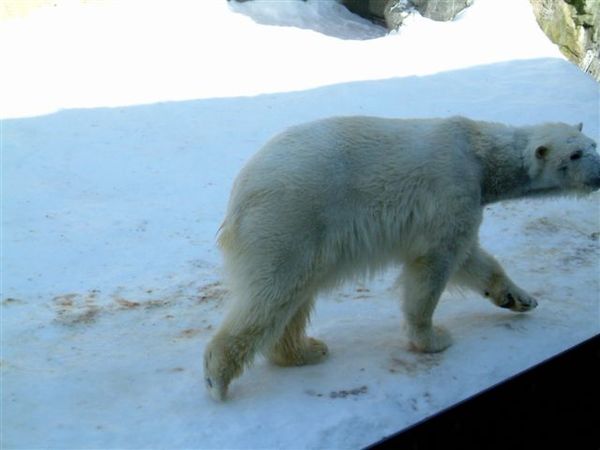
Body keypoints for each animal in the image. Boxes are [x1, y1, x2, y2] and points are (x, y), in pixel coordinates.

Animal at [203, 116, 600, 400]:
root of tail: (238, 195)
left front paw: (520, 299)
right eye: (574, 155)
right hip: (290, 219)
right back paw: (218, 378)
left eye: (592, 145)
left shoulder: (464, 205)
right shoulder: (451, 193)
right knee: (271, 294)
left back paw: (305, 350)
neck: (478, 156)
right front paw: (433, 339)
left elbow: (473, 259)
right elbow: (434, 267)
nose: (598, 174)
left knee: (293, 298)